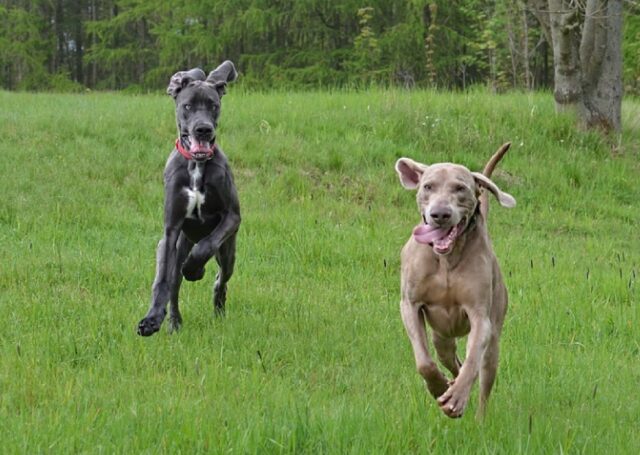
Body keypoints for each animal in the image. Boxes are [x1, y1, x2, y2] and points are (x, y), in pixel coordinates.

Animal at [138, 60, 240, 336]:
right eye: (187, 106)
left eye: (213, 105)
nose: (203, 129)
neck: (197, 165)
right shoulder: (171, 229)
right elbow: (162, 281)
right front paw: (151, 319)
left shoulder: (232, 217)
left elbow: (207, 243)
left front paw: (195, 269)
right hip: (173, 246)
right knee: (173, 282)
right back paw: (173, 321)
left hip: (229, 252)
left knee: (221, 279)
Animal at [396, 144, 516, 418]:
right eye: (428, 186)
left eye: (460, 188)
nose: (440, 214)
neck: (446, 259)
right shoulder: (410, 305)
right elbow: (424, 362)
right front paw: (438, 387)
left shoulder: (481, 316)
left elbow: (473, 361)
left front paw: (457, 397)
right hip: (442, 337)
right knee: (449, 359)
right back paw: (449, 381)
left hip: (494, 339)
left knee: (482, 376)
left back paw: (477, 415)